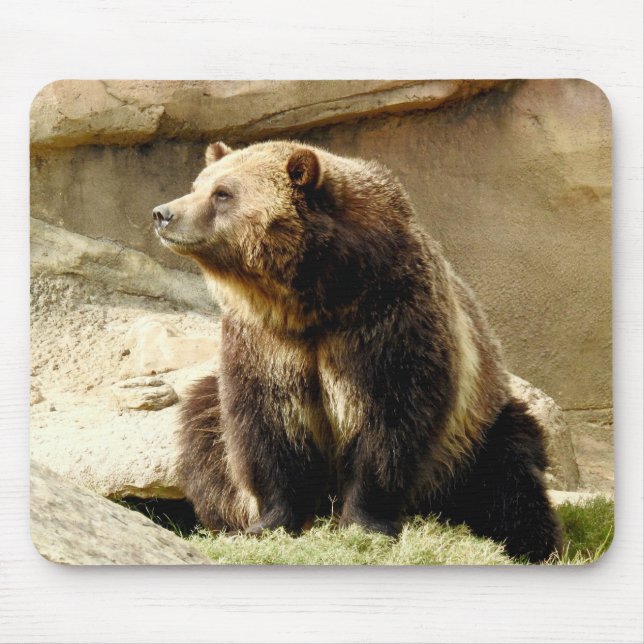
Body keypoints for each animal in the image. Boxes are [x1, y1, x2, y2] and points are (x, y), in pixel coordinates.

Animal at [152, 139, 563, 563]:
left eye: (223, 193)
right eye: (198, 185)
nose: (163, 214)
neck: (314, 297)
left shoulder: (385, 322)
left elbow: (387, 425)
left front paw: (365, 525)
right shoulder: (264, 342)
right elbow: (268, 425)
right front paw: (268, 524)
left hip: (475, 433)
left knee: (510, 476)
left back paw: (528, 543)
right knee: (204, 435)